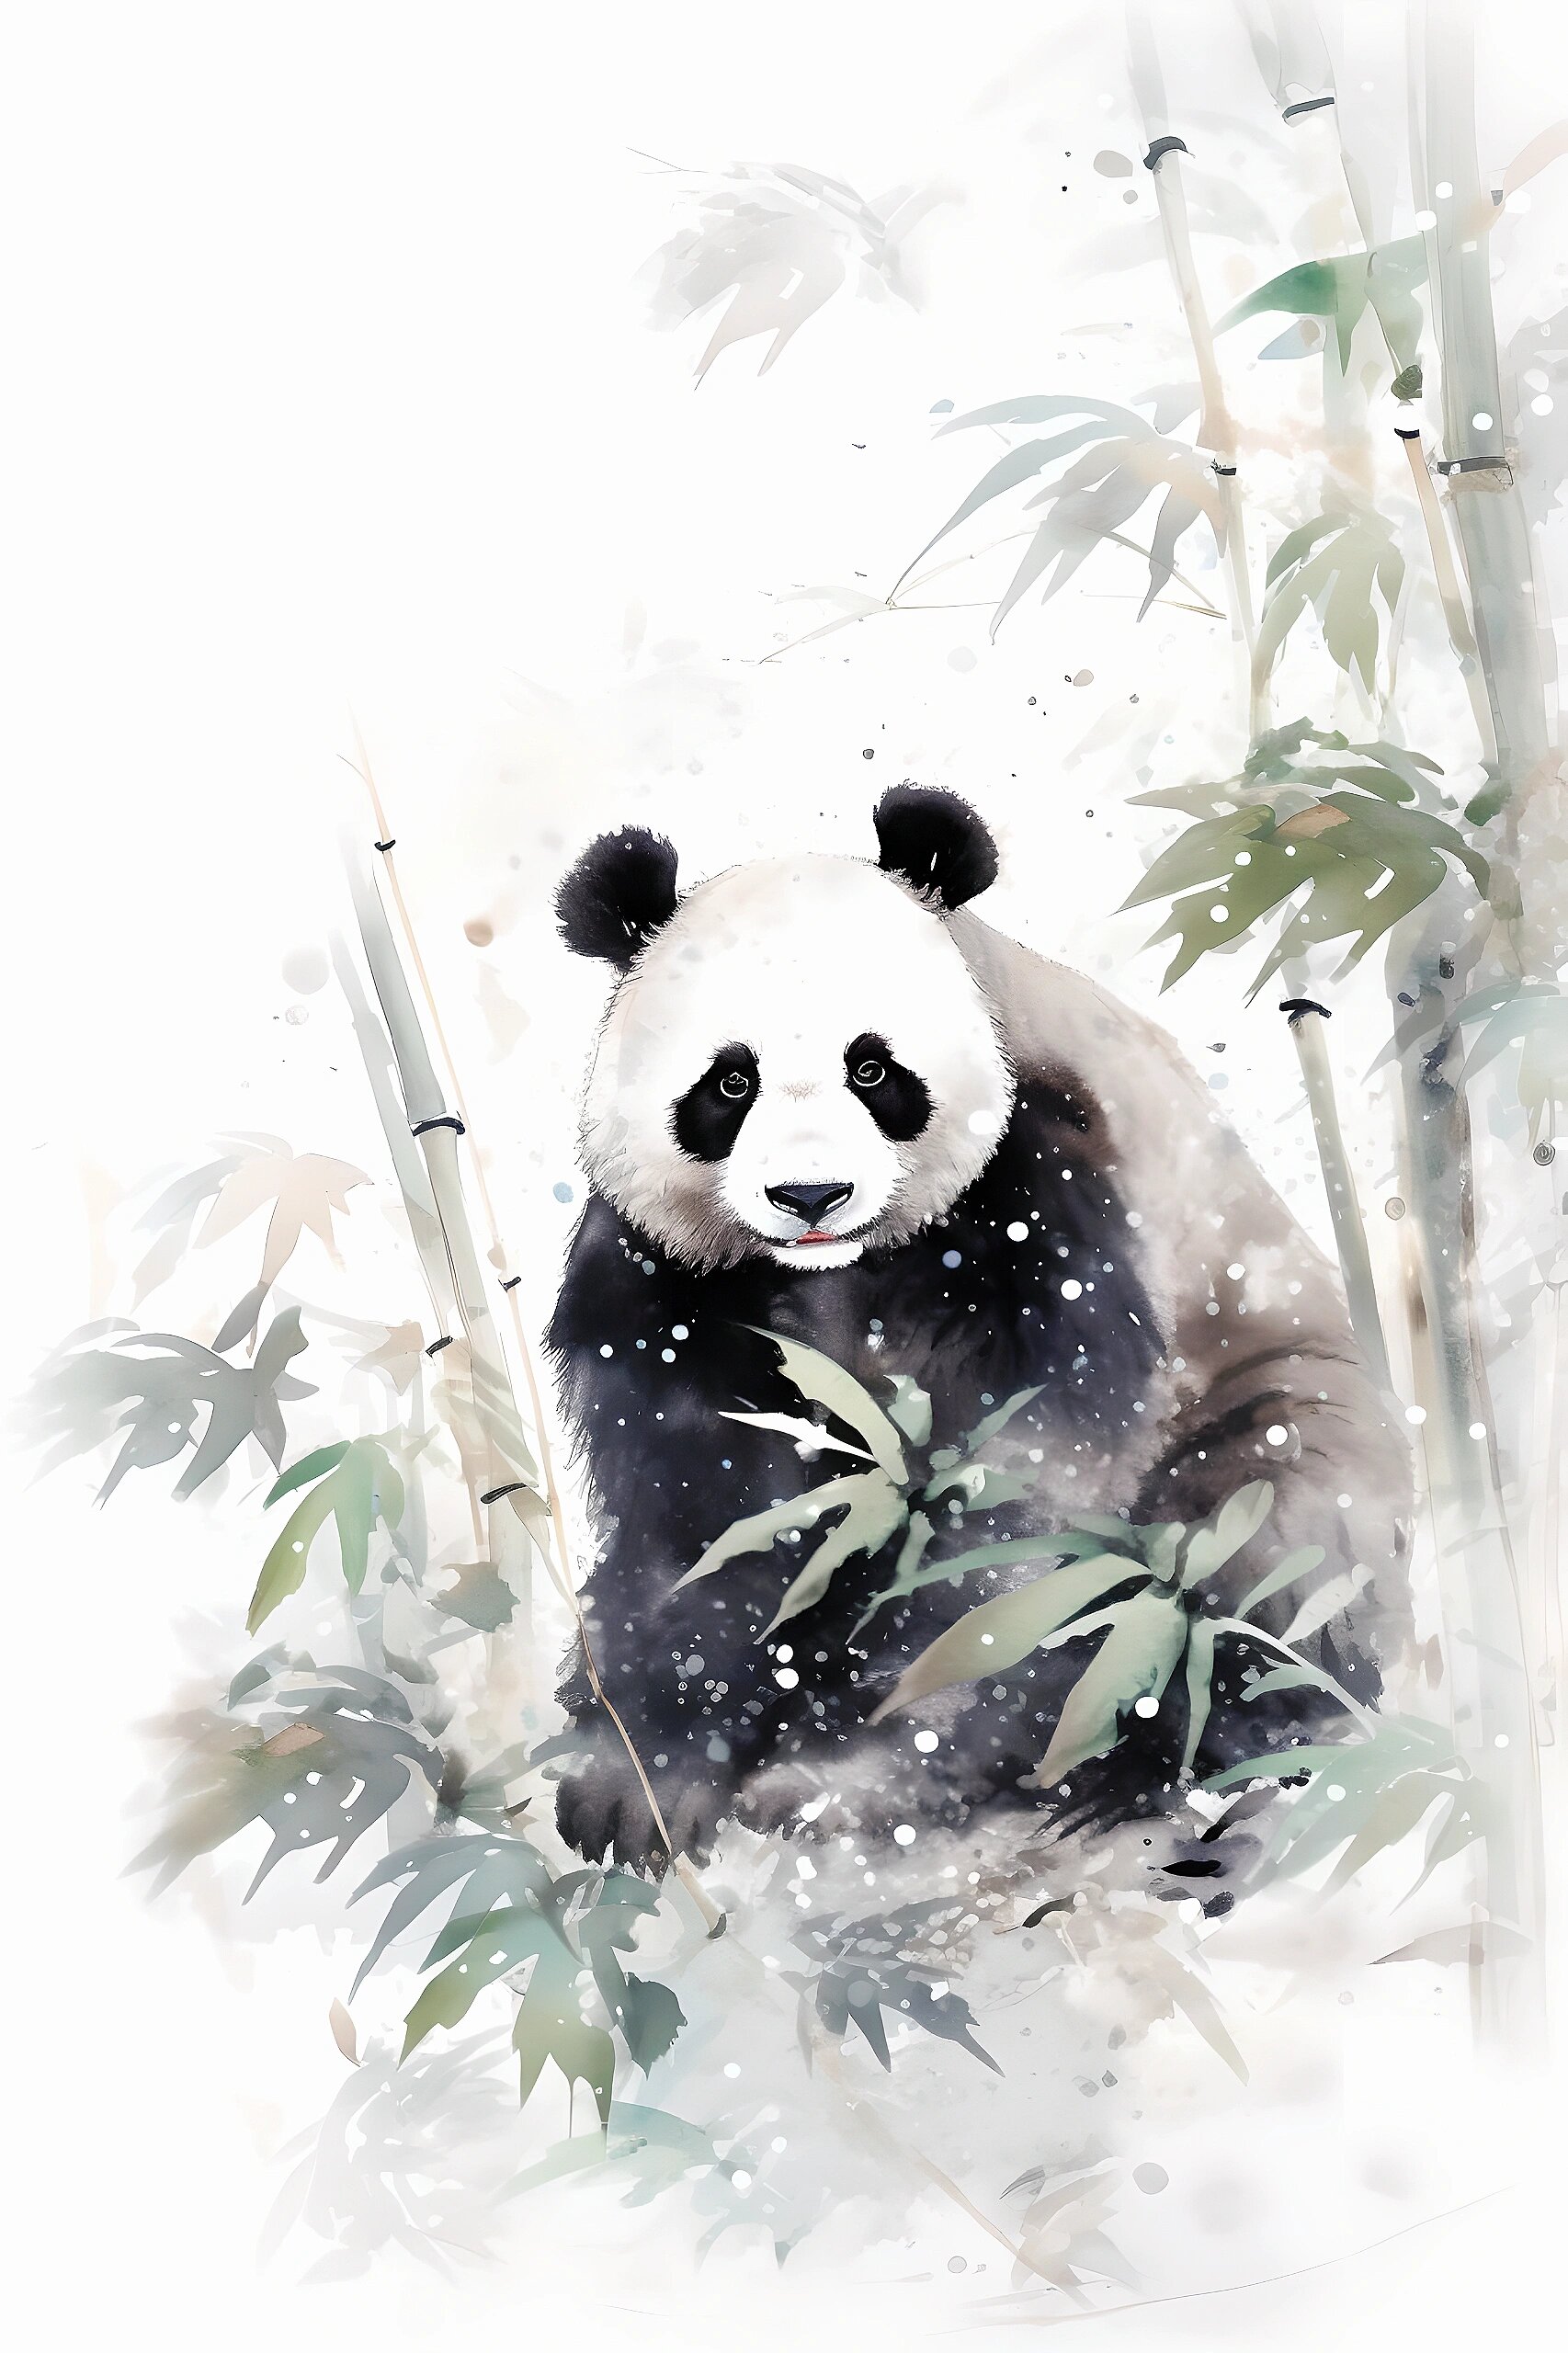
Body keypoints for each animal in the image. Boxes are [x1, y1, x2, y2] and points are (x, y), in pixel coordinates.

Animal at [545, 786, 1412, 1874]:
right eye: (729, 1083)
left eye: (873, 1070)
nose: (809, 1195)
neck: (836, 1269)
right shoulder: (671, 1267)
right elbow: (701, 1502)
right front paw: (638, 1779)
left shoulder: (1041, 1190)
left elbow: (1009, 1488)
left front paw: (850, 1775)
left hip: (1276, 1417)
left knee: (1256, 1570)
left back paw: (1136, 1764)